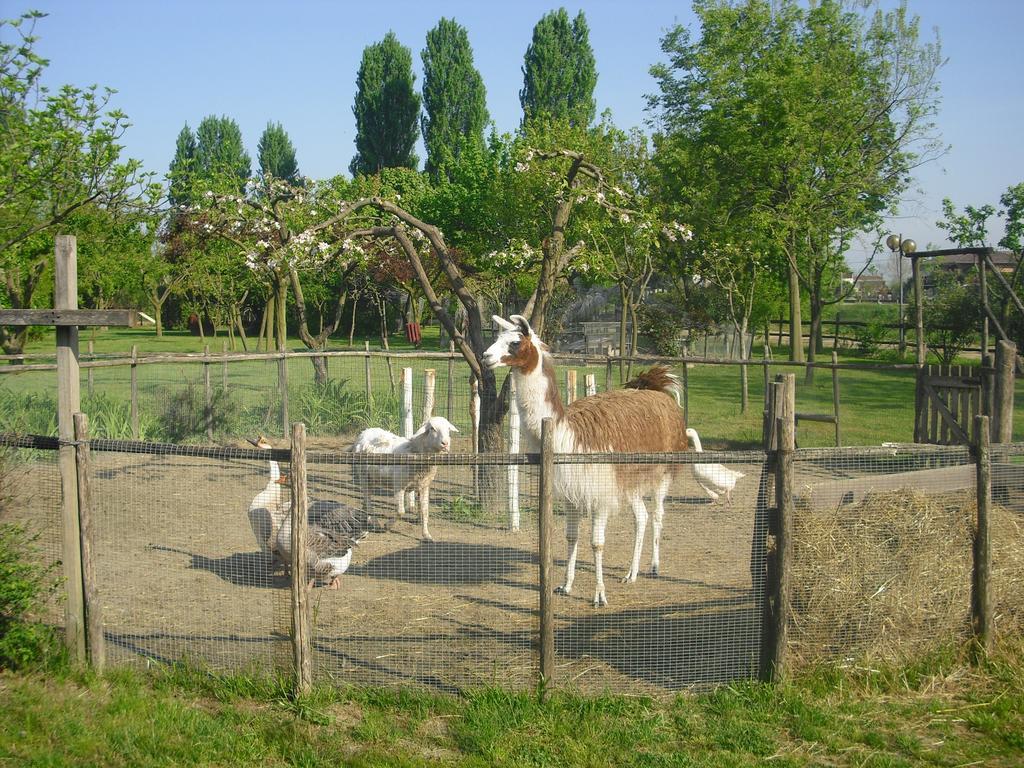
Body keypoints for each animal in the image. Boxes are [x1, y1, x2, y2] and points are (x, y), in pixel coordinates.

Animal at [483, 313, 692, 606]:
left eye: (514, 342)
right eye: (496, 337)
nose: (485, 356)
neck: (568, 435)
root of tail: (657, 391)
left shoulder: (599, 493)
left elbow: (597, 543)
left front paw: (599, 595)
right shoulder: (572, 491)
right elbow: (571, 537)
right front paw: (565, 585)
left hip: (661, 470)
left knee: (658, 514)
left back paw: (654, 567)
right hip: (628, 479)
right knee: (641, 517)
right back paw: (631, 573)